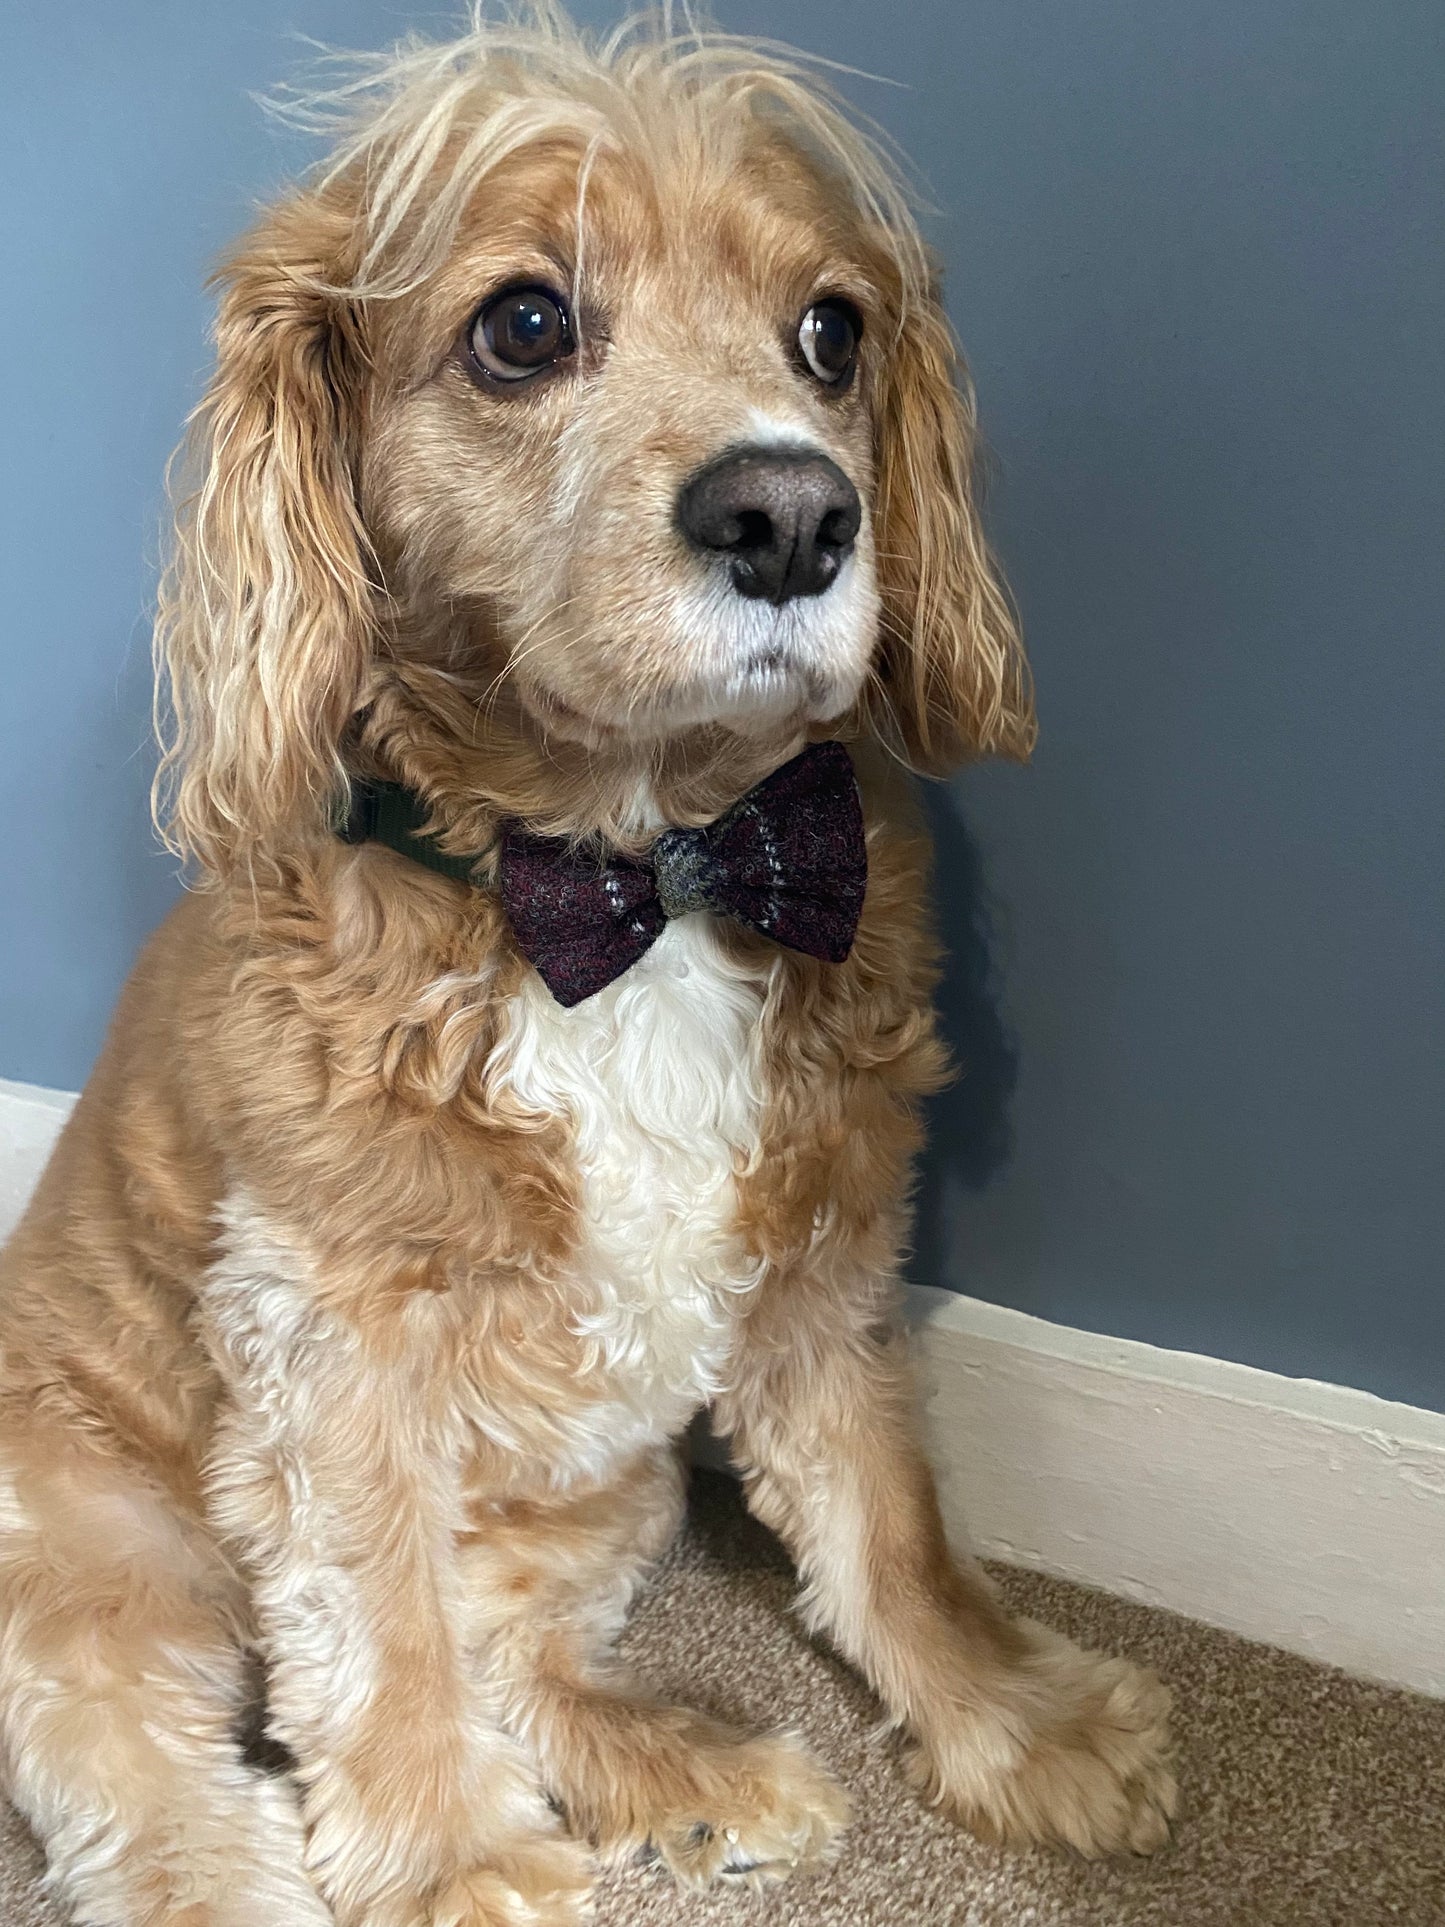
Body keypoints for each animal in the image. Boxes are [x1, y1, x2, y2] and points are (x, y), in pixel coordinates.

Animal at [0, 7, 1179, 1919]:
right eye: (525, 325)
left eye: (833, 330)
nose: (791, 516)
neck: (643, 874)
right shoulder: (330, 1341)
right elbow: (376, 1626)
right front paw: (445, 1857)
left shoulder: (825, 1255)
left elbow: (892, 1519)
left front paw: (1023, 1722)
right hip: (100, 1551)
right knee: (148, 1766)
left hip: (601, 1495)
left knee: (520, 1656)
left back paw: (694, 1773)